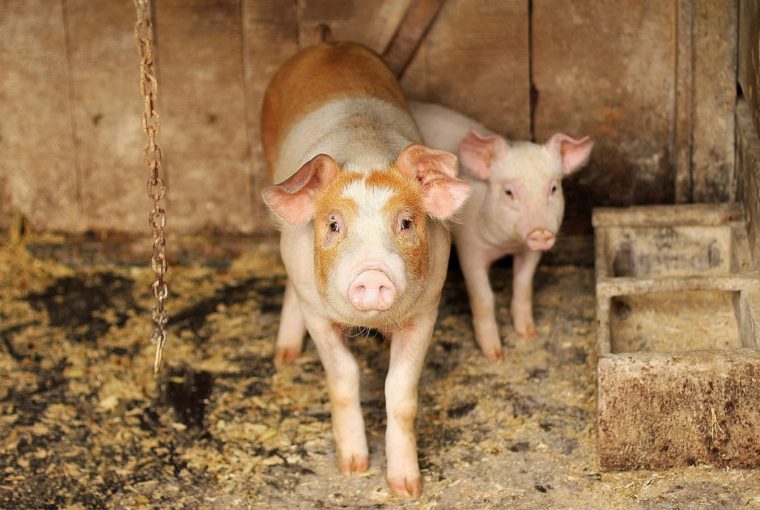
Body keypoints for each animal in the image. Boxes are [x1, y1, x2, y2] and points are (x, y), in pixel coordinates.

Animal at [262, 41, 470, 496]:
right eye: (334, 224)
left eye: (406, 223)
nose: (372, 274)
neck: (365, 154)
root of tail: (329, 43)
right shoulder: (317, 312)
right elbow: (343, 378)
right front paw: (353, 469)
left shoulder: (427, 308)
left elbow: (401, 393)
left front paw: (407, 488)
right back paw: (285, 356)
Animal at [410, 101, 592, 360]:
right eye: (508, 192)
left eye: (554, 188)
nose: (541, 232)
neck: (506, 244)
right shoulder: (470, 248)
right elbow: (484, 296)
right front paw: (494, 354)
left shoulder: (530, 250)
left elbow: (523, 285)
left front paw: (528, 333)